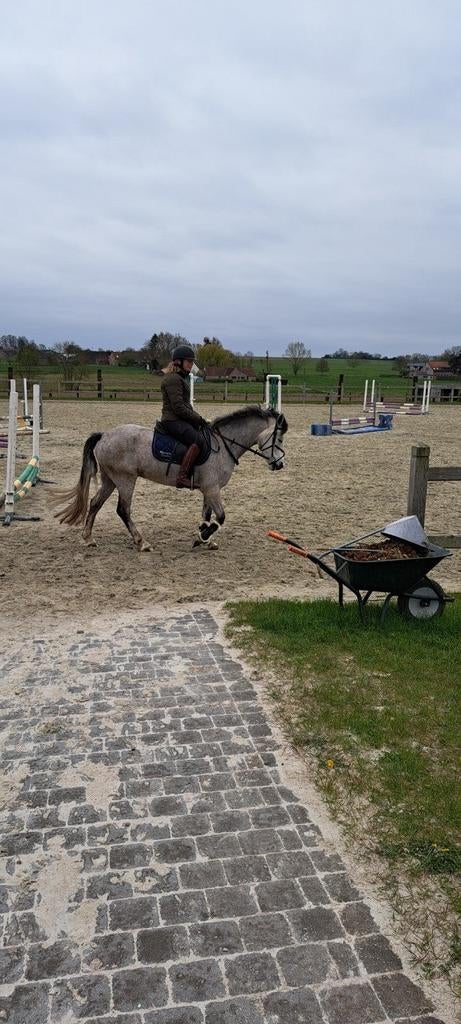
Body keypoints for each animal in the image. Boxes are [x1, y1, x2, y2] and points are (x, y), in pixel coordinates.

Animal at [54, 405, 288, 551]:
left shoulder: (208, 490)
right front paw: (204, 536)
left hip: (110, 480)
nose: (280, 464)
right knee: (123, 510)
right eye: (279, 438)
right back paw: (142, 542)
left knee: (95, 503)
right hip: (125, 480)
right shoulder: (212, 489)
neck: (223, 445)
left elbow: (207, 514)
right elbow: (220, 517)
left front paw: (204, 538)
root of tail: (104, 435)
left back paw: (88, 539)